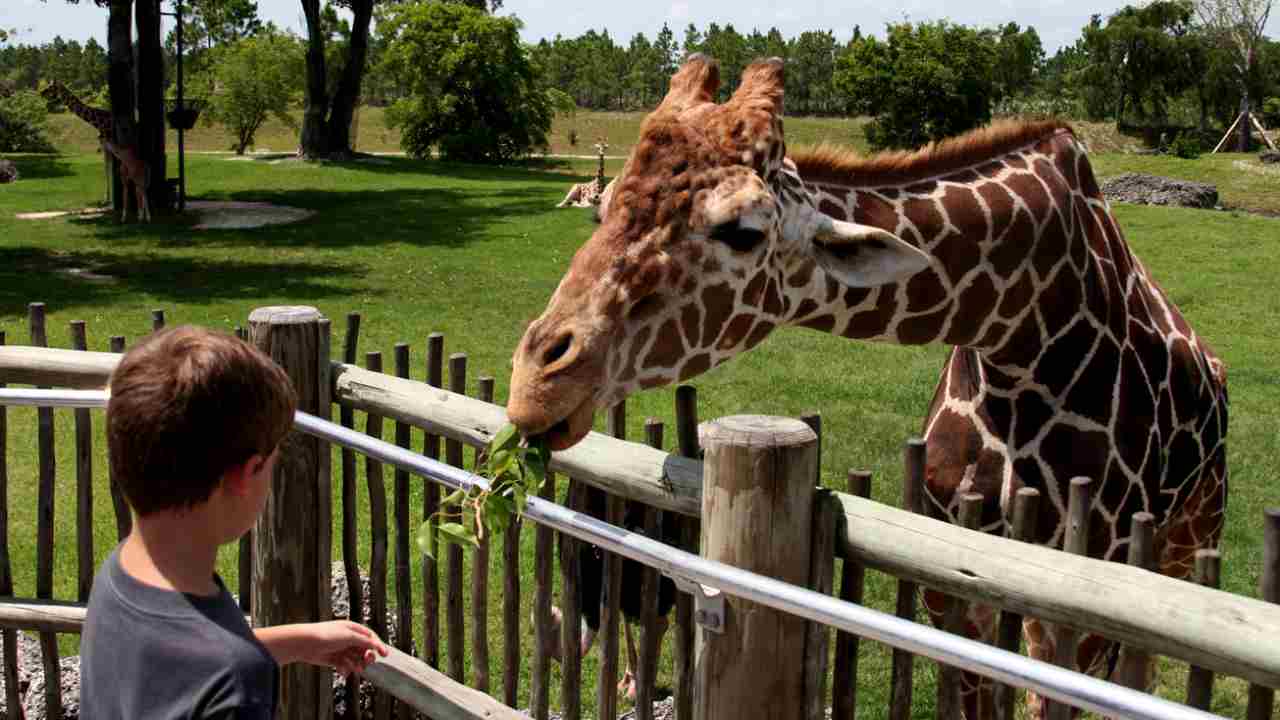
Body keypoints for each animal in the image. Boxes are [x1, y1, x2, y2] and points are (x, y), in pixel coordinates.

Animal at [506, 56, 1228, 717]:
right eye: (605, 206)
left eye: (742, 230)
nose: (533, 384)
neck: (1022, 333)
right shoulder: (952, 583)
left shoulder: (1081, 599)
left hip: (1188, 539)